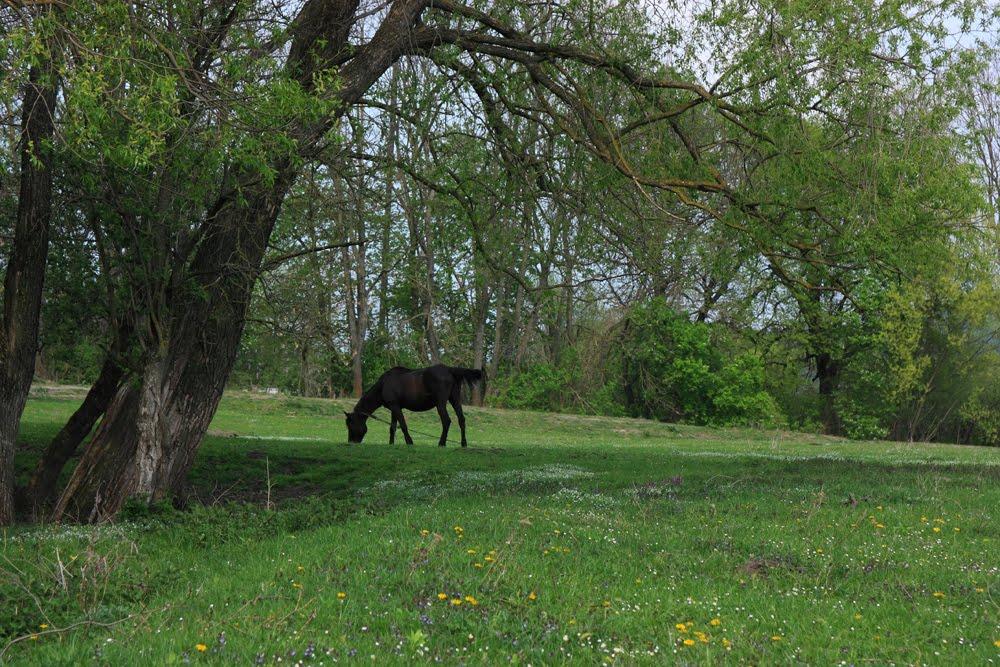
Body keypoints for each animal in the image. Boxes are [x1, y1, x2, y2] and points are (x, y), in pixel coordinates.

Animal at [344, 366, 484, 448]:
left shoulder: (396, 407)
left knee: (446, 421)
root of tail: (450, 370)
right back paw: (463, 443)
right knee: (461, 420)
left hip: (441, 404)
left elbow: (403, 426)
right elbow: (392, 427)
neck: (383, 384)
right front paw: (391, 444)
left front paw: (409, 442)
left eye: (350, 425)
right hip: (455, 400)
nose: (351, 442)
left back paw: (441, 443)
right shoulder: (394, 408)